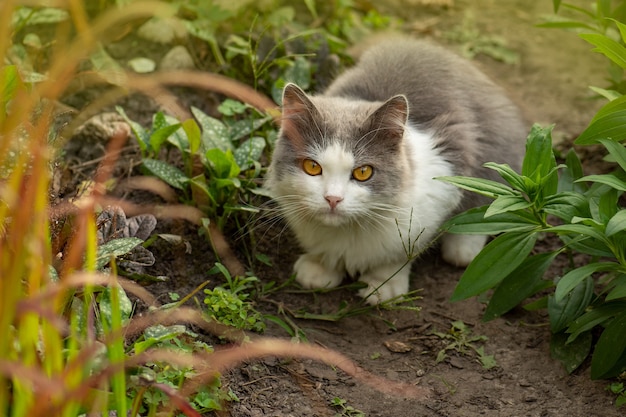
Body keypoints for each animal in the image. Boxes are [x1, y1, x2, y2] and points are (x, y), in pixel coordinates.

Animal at [264, 37, 528, 304]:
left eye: (363, 172)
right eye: (312, 167)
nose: (333, 199)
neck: (350, 230)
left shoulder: (441, 181)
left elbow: (398, 255)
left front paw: (383, 287)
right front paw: (319, 269)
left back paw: (464, 247)